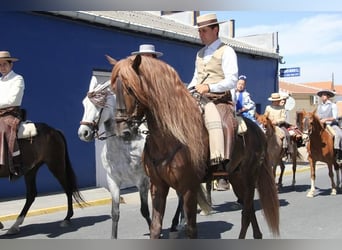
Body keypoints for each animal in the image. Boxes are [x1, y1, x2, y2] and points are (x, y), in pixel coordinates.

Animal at [110, 55, 280, 239]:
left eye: (130, 88)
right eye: (113, 90)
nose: (122, 130)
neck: (170, 137)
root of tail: (259, 131)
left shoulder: (188, 188)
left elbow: (191, 229)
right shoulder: (158, 187)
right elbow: (155, 228)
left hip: (248, 178)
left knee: (247, 212)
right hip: (236, 178)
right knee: (249, 211)